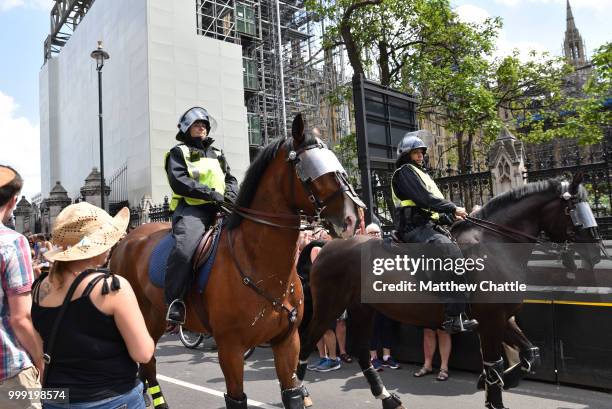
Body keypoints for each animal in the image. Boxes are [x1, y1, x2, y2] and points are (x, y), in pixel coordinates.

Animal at [109, 114, 364, 408]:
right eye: (312, 169)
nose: (353, 217)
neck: (260, 264)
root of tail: (125, 241)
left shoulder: (287, 341)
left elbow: (293, 394)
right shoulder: (230, 348)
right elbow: (236, 398)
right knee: (147, 365)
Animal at [296, 175, 604, 408]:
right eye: (575, 211)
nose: (598, 253)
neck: (496, 245)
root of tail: (327, 246)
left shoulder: (501, 320)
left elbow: (531, 355)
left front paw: (501, 380)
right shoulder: (490, 321)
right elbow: (494, 363)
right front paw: (494, 391)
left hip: (362, 309)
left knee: (361, 351)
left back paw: (386, 398)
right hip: (329, 307)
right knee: (307, 340)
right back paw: (299, 394)